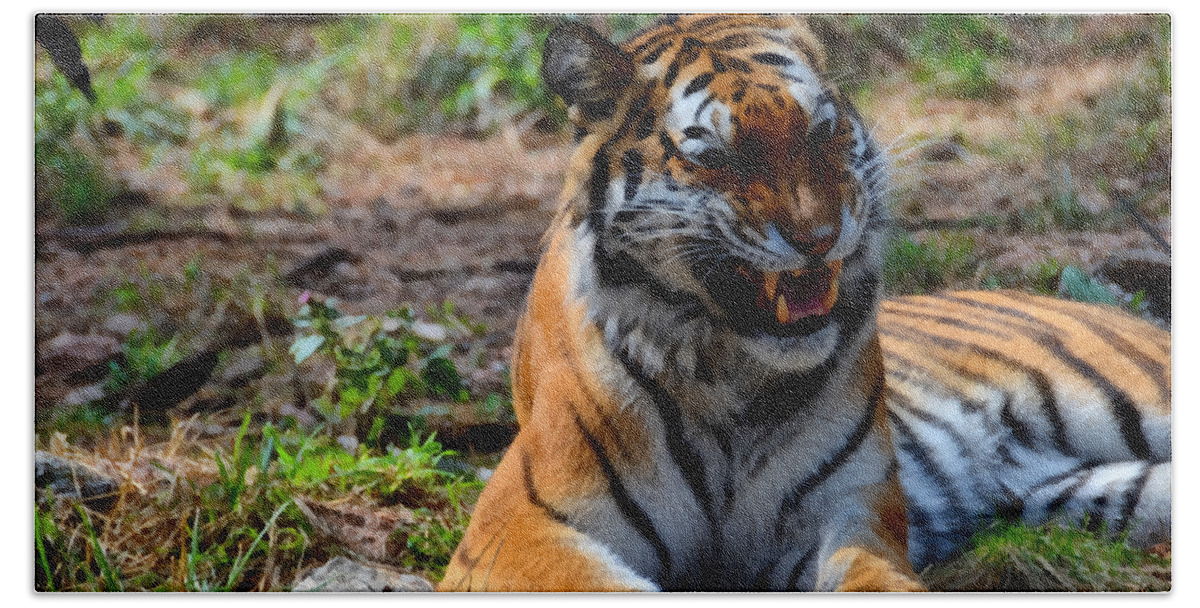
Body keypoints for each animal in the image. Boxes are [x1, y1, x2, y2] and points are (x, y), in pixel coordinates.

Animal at [436, 14, 1166, 592]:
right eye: (716, 154)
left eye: (822, 131)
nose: (818, 236)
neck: (729, 377)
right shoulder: (519, 529)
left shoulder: (850, 514)